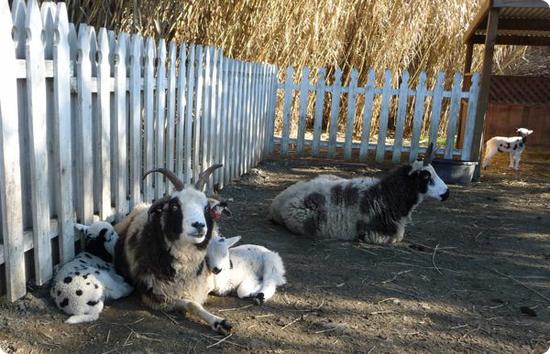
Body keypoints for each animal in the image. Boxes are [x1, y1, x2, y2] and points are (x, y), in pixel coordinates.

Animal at [113, 165, 234, 334]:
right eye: (175, 206)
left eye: (206, 207)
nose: (199, 225)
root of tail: (143, 206)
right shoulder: (158, 298)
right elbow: (192, 304)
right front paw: (219, 321)